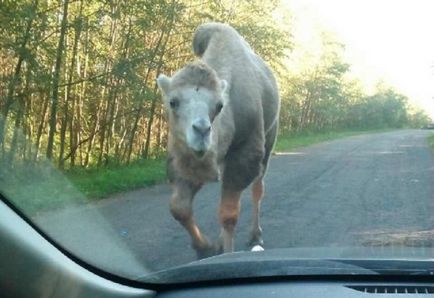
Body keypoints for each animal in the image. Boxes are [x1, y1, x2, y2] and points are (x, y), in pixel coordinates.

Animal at [158, 22, 280, 258]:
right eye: (172, 102)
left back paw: (255, 235)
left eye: (219, 105)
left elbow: (228, 214)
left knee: (258, 187)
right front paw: (206, 248)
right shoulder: (184, 155)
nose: (202, 130)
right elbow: (179, 207)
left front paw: (225, 252)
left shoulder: (246, 152)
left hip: (271, 135)